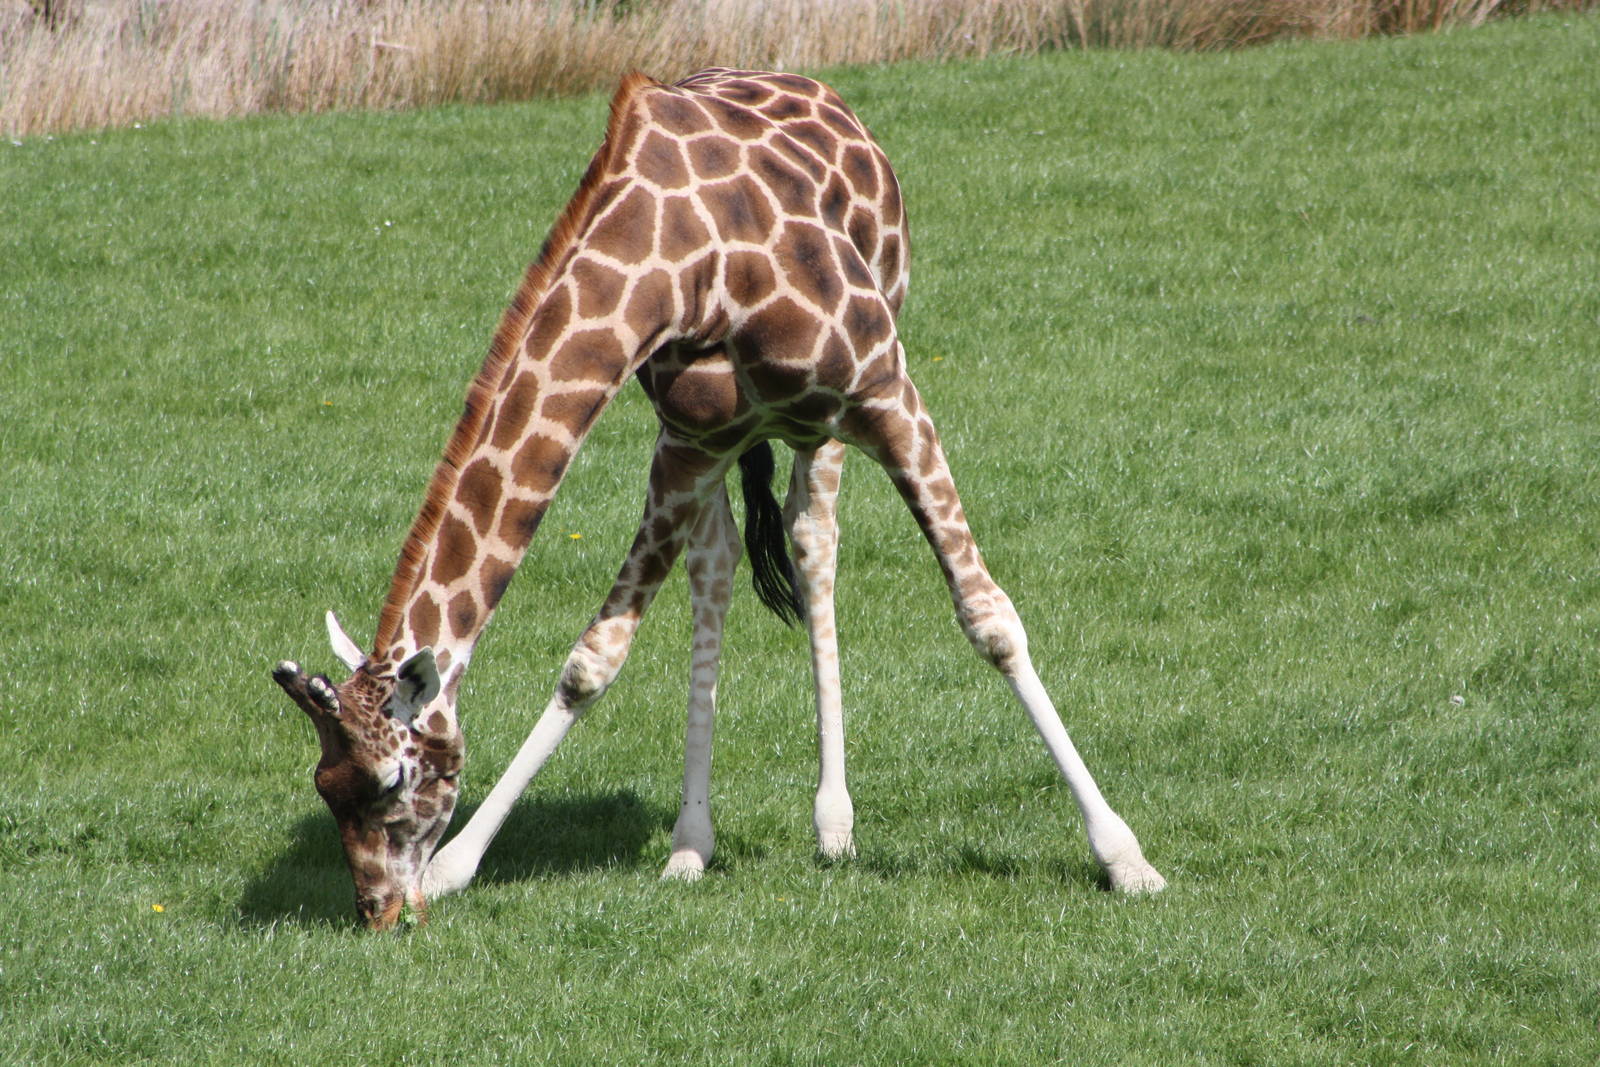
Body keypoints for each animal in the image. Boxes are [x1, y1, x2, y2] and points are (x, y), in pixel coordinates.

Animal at [271, 68, 1165, 930]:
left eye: (391, 781)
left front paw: (1127, 858)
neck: (681, 265)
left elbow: (991, 619)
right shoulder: (689, 440)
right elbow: (594, 658)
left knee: (813, 539)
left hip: (823, 417)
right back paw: (691, 842)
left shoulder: (887, 393)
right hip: (722, 441)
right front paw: (458, 866)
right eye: (324, 783)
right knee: (722, 560)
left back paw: (833, 823)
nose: (379, 910)